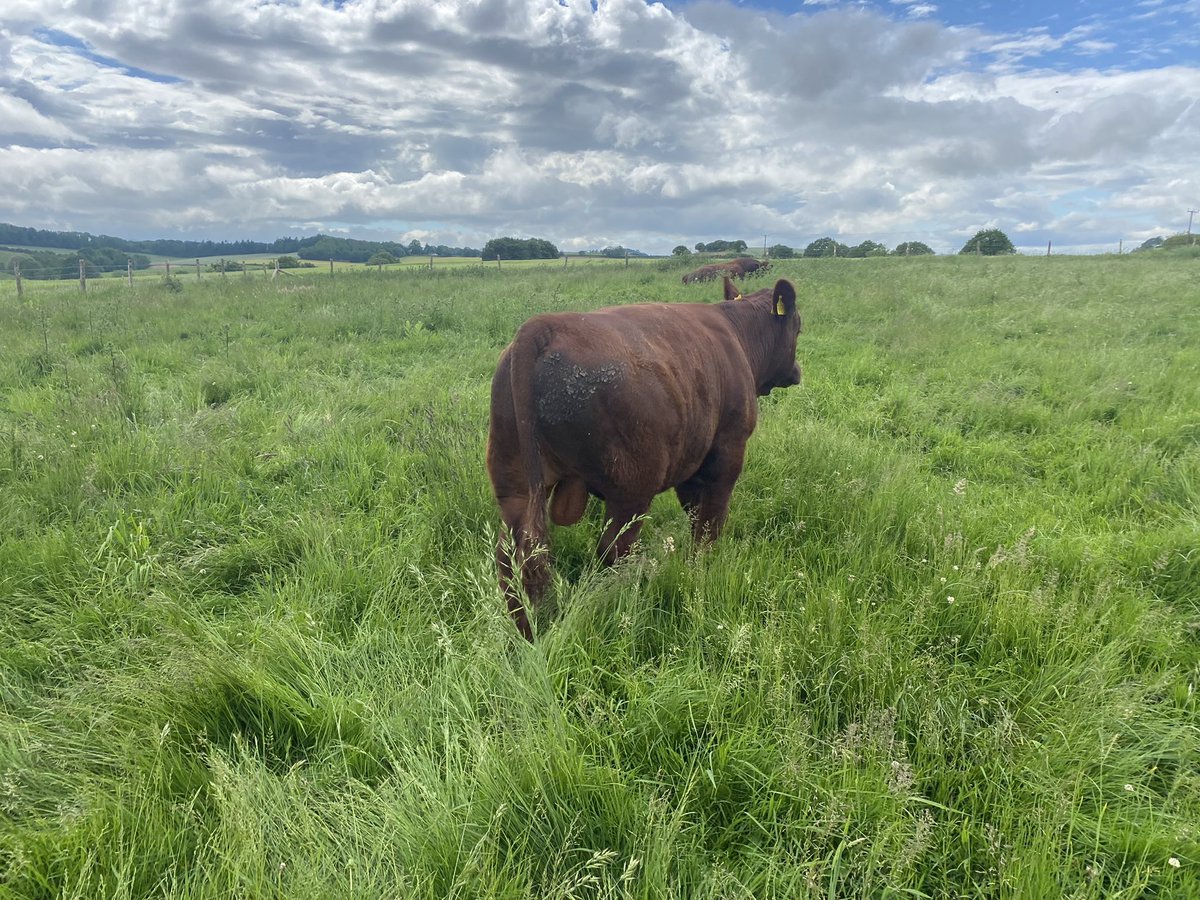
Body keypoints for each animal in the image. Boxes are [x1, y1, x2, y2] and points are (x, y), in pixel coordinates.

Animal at [487, 276, 803, 639]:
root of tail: (542, 327)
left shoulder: (689, 461)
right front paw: (703, 570)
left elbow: (695, 514)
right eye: (799, 327)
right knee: (611, 552)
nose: (797, 370)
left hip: (515, 489)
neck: (737, 333)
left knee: (513, 560)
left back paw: (527, 632)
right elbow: (710, 521)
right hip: (631, 492)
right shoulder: (727, 451)